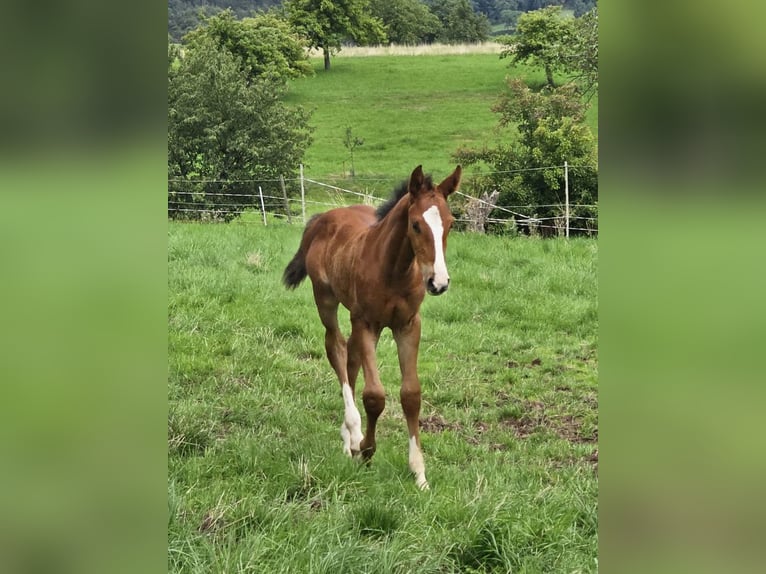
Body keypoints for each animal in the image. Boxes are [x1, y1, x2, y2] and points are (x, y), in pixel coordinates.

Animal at [284, 165, 460, 490]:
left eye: (451, 223)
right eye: (416, 225)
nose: (438, 283)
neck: (394, 270)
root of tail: (324, 217)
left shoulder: (408, 325)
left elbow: (411, 394)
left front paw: (419, 473)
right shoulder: (366, 322)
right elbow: (375, 396)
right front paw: (365, 449)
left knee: (351, 358)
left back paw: (348, 437)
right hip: (327, 301)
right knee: (337, 349)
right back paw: (352, 434)